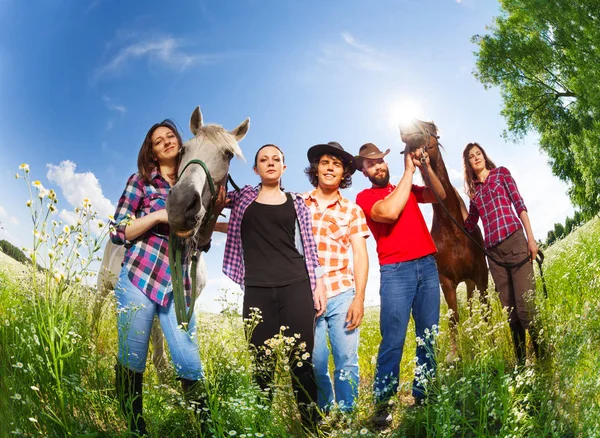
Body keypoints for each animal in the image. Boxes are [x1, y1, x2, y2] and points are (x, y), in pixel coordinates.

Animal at [398, 120, 488, 360]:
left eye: (431, 126)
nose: (406, 125)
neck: (453, 228)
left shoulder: (481, 273)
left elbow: (485, 309)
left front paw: (492, 340)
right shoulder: (446, 280)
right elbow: (454, 316)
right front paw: (455, 355)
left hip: (472, 280)